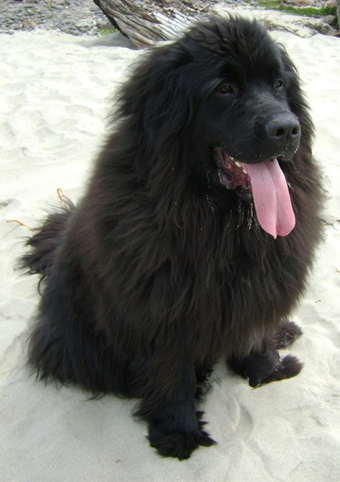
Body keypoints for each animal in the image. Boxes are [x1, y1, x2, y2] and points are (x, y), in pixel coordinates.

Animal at [22, 16, 322, 460]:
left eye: (280, 84)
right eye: (224, 89)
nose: (286, 128)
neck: (221, 222)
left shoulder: (258, 285)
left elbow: (253, 334)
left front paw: (268, 370)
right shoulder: (162, 310)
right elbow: (171, 372)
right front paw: (179, 432)